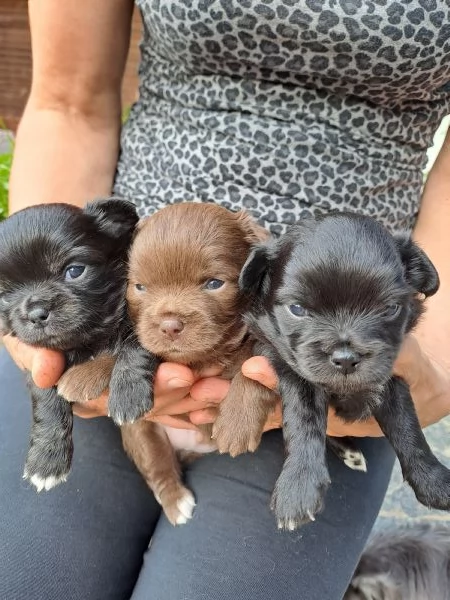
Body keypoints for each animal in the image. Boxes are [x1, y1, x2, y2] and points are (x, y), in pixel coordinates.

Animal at [0, 199, 139, 490]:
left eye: (74, 271)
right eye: (4, 295)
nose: (36, 312)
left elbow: (136, 342)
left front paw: (129, 392)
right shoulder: (37, 368)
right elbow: (47, 400)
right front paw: (46, 460)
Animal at [109, 203, 280, 524]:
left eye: (214, 283)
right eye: (140, 287)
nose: (169, 325)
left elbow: (255, 363)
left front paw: (237, 423)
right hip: (142, 433)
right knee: (157, 466)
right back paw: (176, 501)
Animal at [241, 211, 448, 528]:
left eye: (389, 308)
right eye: (297, 309)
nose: (347, 358)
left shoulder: (391, 375)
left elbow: (406, 424)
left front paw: (433, 480)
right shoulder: (287, 364)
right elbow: (304, 417)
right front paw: (298, 487)